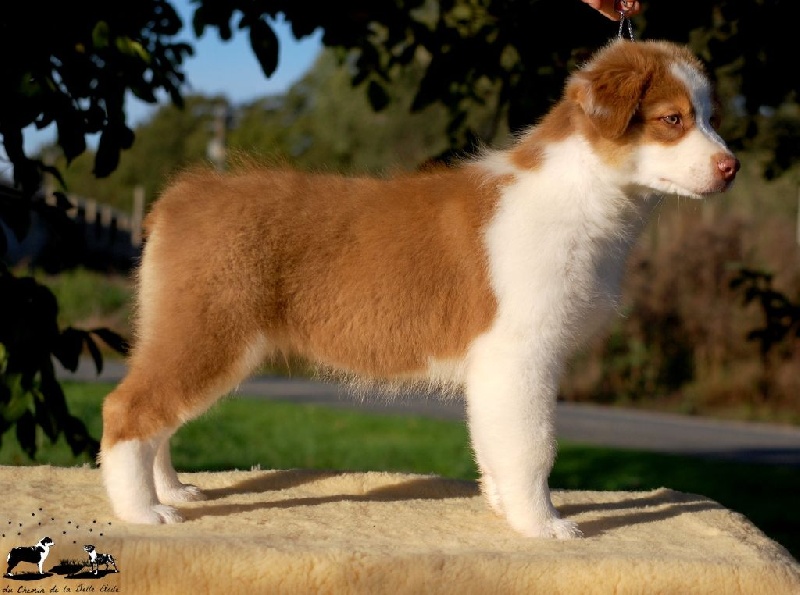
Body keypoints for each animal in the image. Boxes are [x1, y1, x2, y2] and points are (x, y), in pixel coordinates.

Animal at [100, 39, 738, 538]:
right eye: (673, 119)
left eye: (708, 117)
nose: (731, 167)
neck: (583, 192)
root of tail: (184, 196)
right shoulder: (521, 353)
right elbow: (533, 446)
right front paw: (543, 526)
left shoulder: (499, 366)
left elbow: (495, 442)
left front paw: (505, 510)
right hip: (210, 330)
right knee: (128, 408)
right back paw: (142, 514)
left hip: (186, 329)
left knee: (157, 416)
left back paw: (171, 492)